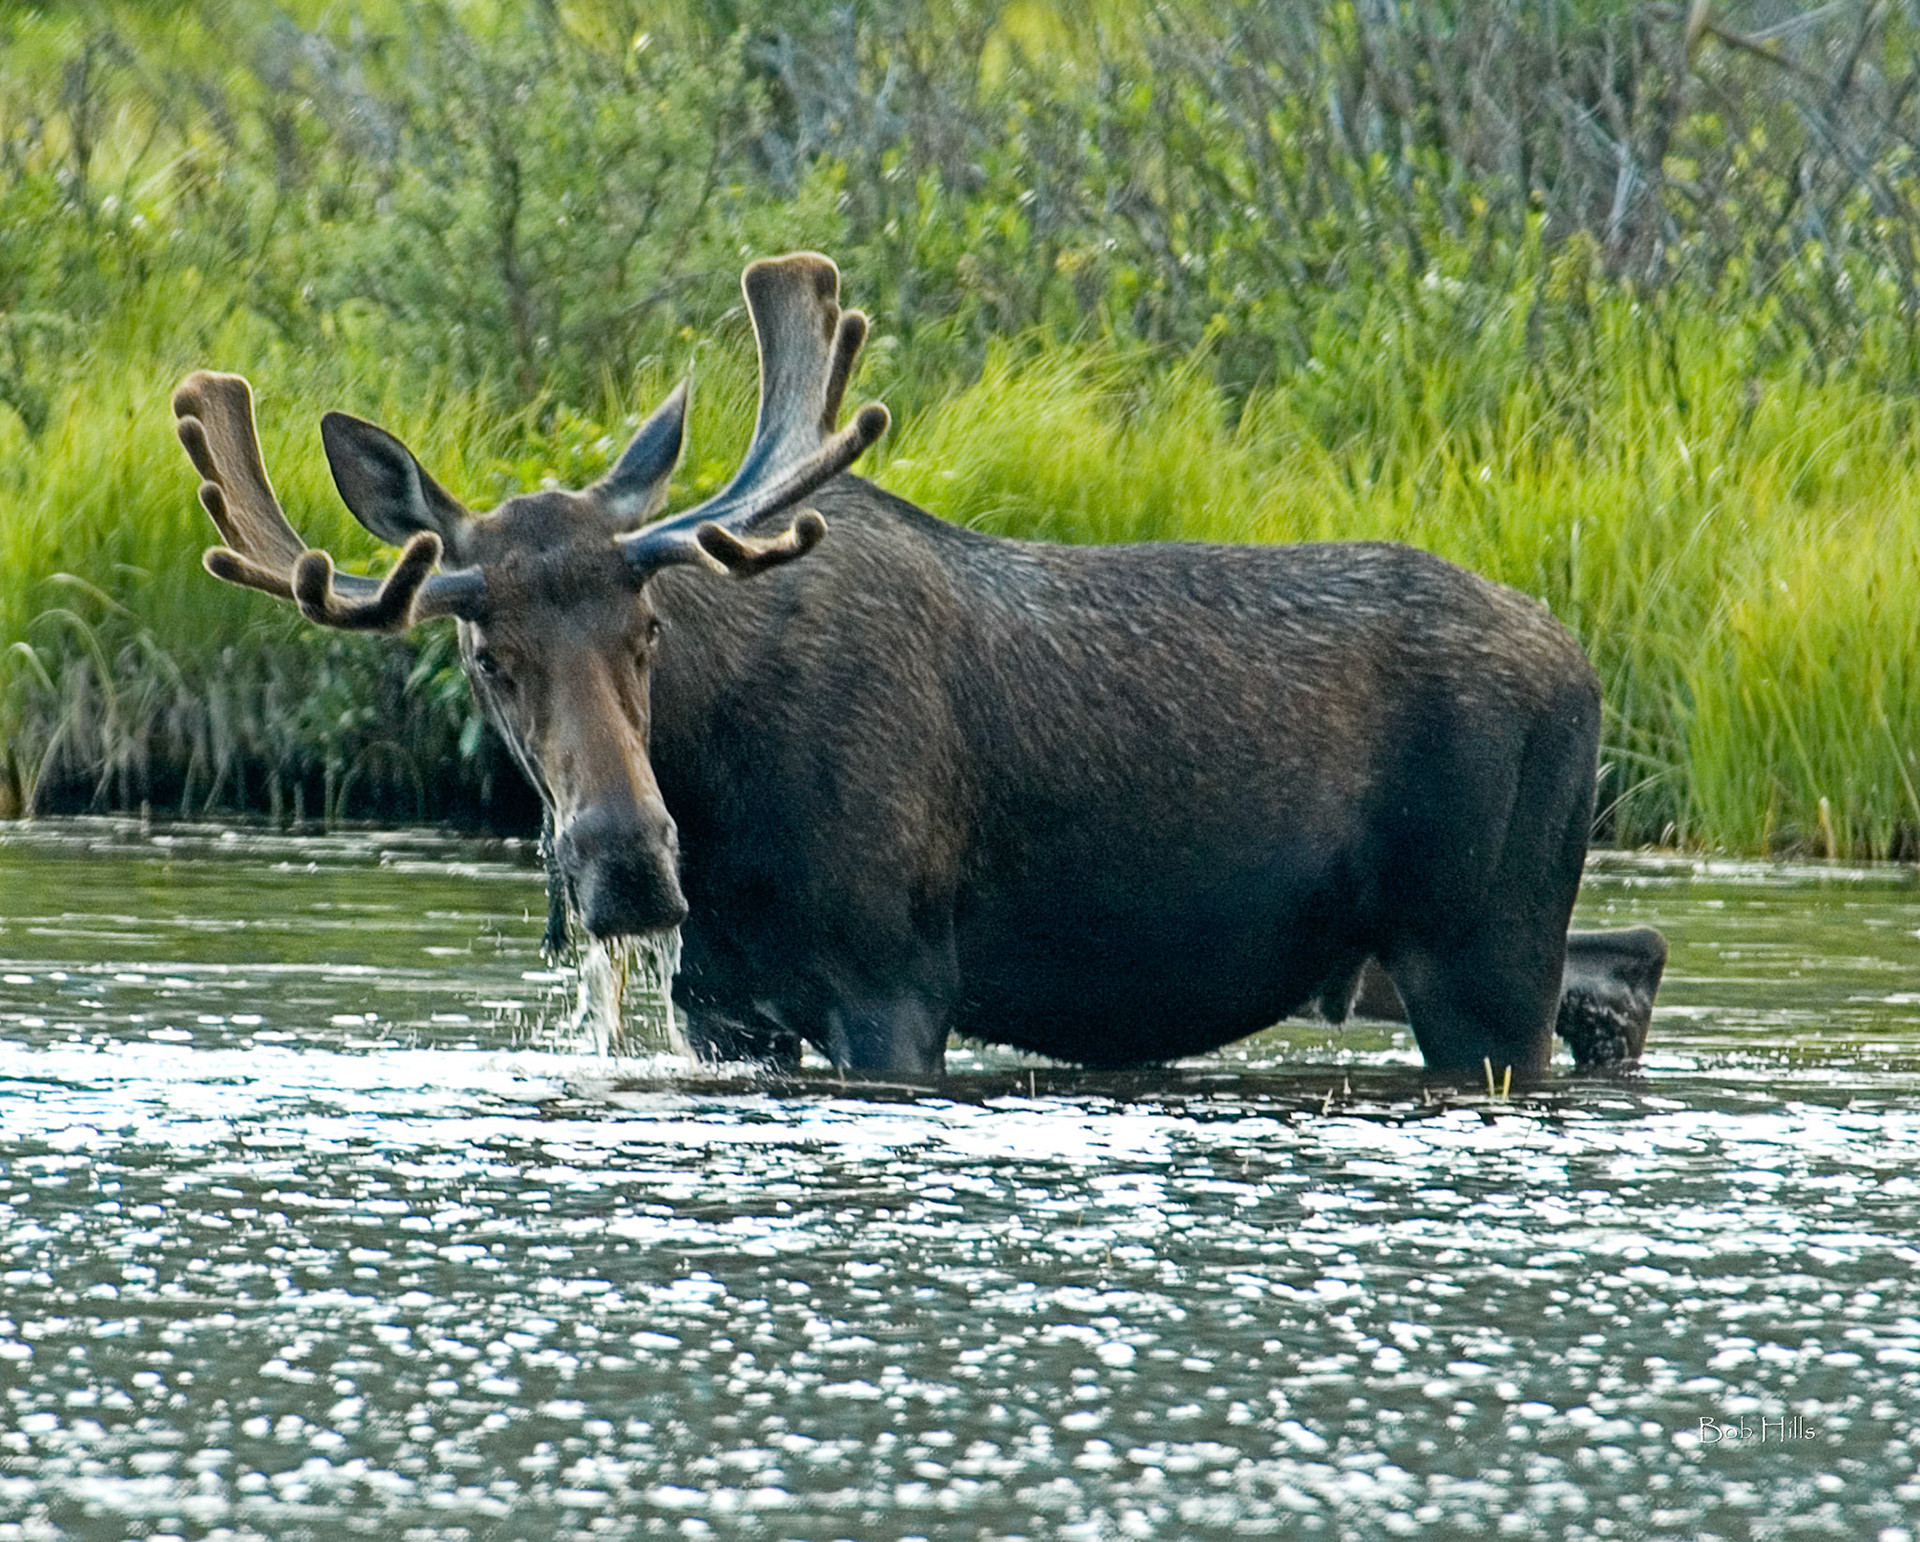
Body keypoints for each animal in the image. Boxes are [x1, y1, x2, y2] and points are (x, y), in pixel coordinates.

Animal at [176, 252, 1615, 1082]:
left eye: (649, 627)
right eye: (486, 653)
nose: (629, 861)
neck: (724, 810)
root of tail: (1588, 666)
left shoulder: (900, 985)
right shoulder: (729, 1010)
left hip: (1482, 958)